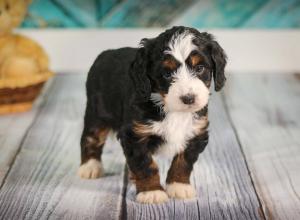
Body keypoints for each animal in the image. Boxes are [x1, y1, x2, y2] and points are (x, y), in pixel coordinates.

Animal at [78, 26, 226, 205]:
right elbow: (145, 164)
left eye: (199, 68)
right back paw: (90, 166)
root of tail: (104, 54)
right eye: (167, 74)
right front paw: (152, 191)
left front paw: (179, 186)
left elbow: (184, 161)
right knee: (90, 137)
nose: (188, 98)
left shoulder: (196, 131)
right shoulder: (135, 135)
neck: (171, 109)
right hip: (97, 111)